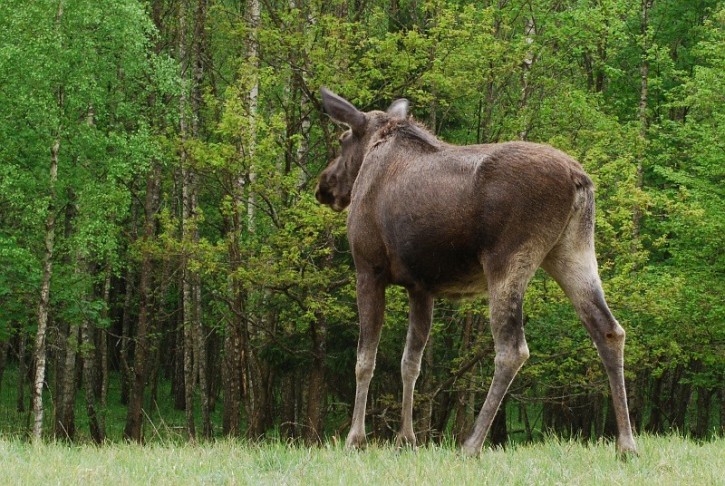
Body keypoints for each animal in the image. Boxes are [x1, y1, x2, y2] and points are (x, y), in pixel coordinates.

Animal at [314, 88, 636, 460]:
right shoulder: (421, 287)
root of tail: (579, 180)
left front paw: (356, 438)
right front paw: (406, 439)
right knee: (609, 330)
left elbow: (365, 359)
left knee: (512, 348)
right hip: (573, 251)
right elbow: (411, 362)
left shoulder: (369, 269)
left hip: (507, 258)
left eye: (342, 140)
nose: (323, 185)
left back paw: (471, 444)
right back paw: (626, 444)